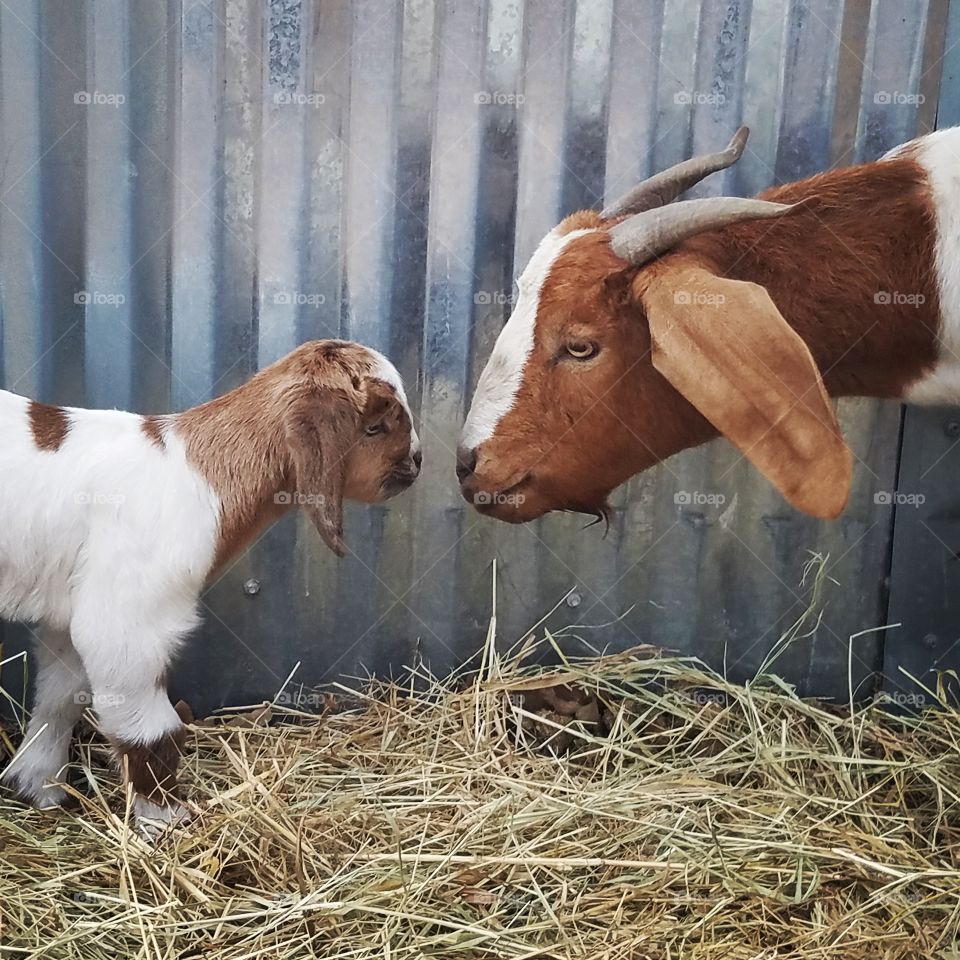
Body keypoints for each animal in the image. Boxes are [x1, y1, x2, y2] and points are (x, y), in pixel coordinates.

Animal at [0, 340, 420, 824]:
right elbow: (151, 729)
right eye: (376, 426)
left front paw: (38, 786)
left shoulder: (71, 612)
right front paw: (167, 818)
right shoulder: (126, 621)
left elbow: (60, 696)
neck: (200, 475)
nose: (417, 463)